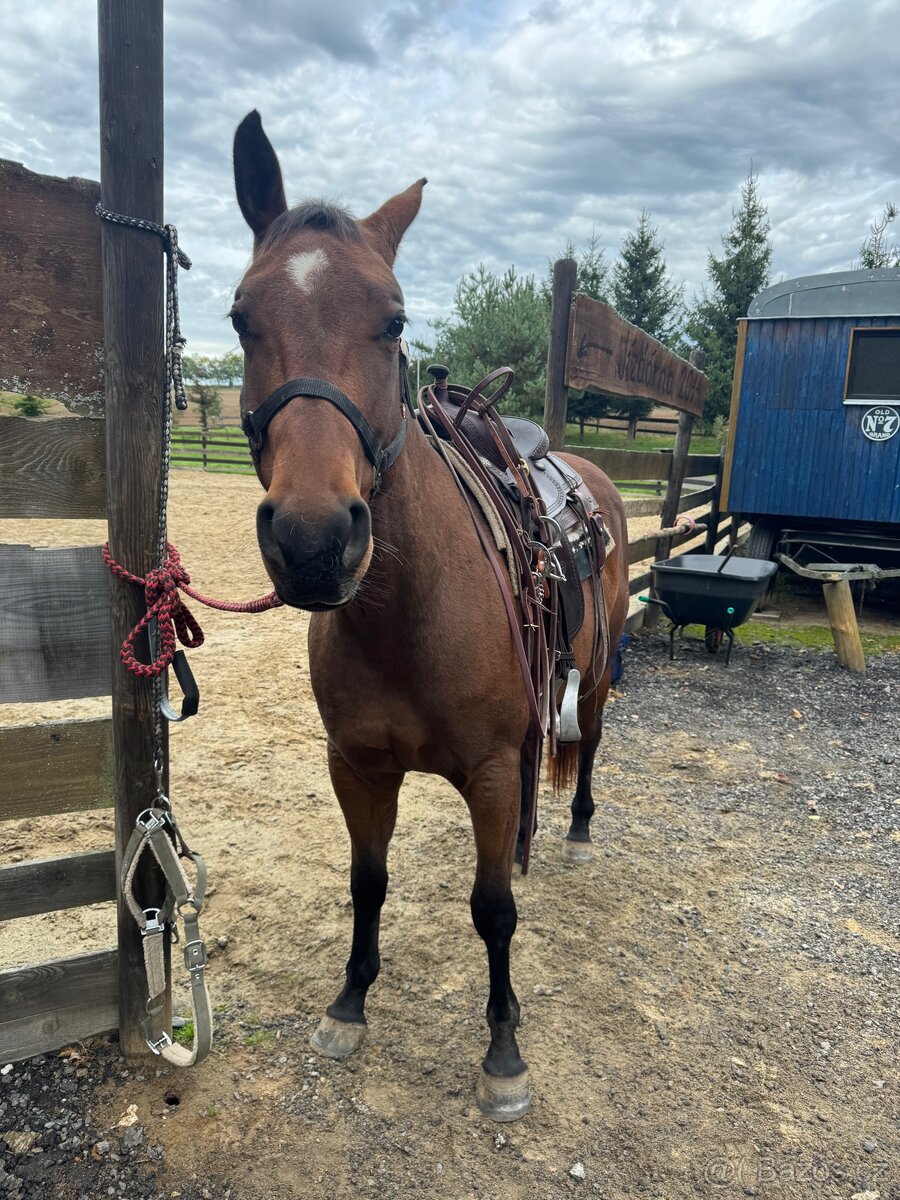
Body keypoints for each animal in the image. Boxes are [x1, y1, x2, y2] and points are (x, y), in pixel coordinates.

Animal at [231, 109, 629, 1121]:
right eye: (242, 317)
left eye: (395, 320)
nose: (314, 539)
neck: (406, 616)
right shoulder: (358, 765)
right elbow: (367, 882)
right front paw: (349, 1002)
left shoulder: (489, 770)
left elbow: (493, 911)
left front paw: (503, 1052)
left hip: (599, 673)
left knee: (591, 747)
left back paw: (576, 832)